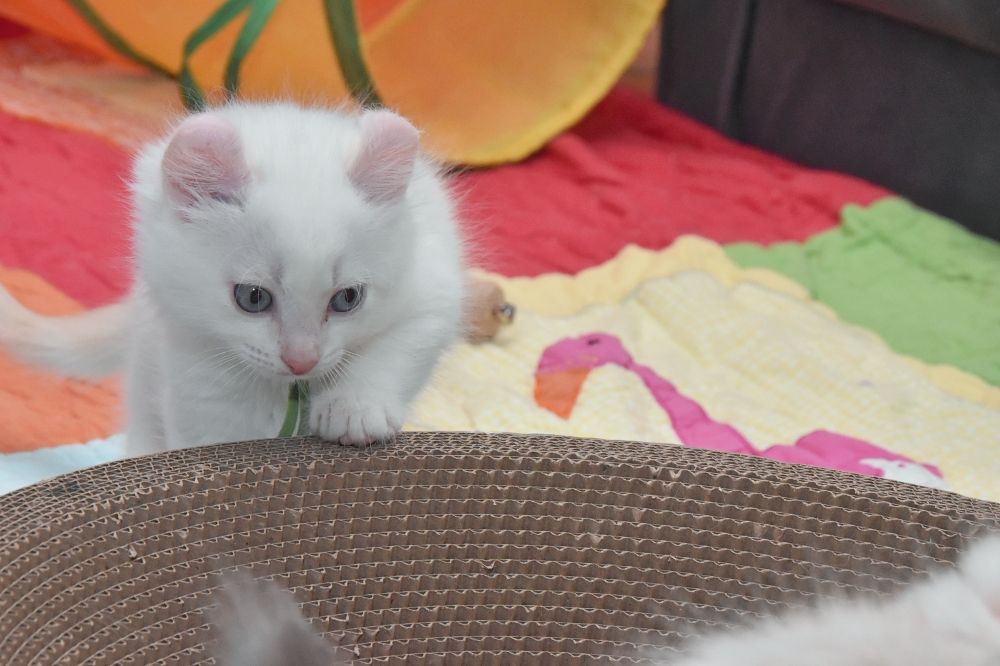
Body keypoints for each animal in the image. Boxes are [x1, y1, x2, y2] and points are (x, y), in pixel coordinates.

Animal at [0, 103, 467, 456]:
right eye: (252, 298)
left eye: (347, 299)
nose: (302, 360)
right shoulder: (191, 353)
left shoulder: (434, 286)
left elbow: (398, 347)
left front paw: (354, 407)